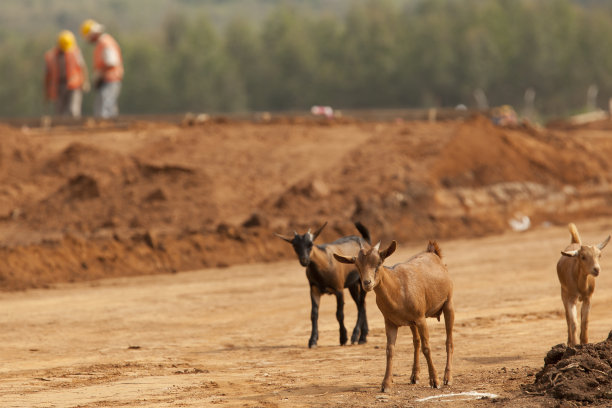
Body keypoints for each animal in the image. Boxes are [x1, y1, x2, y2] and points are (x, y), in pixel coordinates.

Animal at [274, 222, 370, 350]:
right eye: (294, 245)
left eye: (310, 244)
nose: (304, 261)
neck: (324, 261)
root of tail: (365, 242)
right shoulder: (314, 289)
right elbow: (314, 314)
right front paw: (313, 340)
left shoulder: (339, 289)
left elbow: (339, 314)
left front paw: (343, 338)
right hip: (352, 285)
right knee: (361, 304)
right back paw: (363, 336)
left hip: (362, 281)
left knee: (361, 304)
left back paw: (357, 336)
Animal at [334, 241, 454, 390]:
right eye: (357, 266)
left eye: (379, 263)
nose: (367, 283)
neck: (397, 288)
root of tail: (433, 252)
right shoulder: (390, 322)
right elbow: (389, 350)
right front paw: (386, 383)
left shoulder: (420, 318)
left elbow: (427, 348)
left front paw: (435, 381)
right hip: (412, 322)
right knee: (416, 342)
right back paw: (415, 376)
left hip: (448, 303)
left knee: (448, 341)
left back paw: (447, 378)